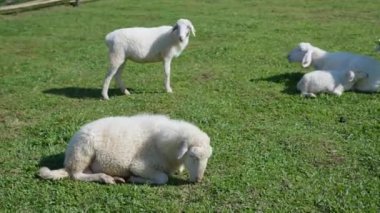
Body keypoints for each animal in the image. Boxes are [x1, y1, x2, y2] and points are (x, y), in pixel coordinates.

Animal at [38, 115, 212, 185]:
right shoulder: (139, 166)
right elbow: (163, 178)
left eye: (207, 158)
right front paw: (135, 179)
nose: (198, 180)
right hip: (82, 151)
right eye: (193, 156)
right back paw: (106, 178)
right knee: (76, 175)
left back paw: (112, 178)